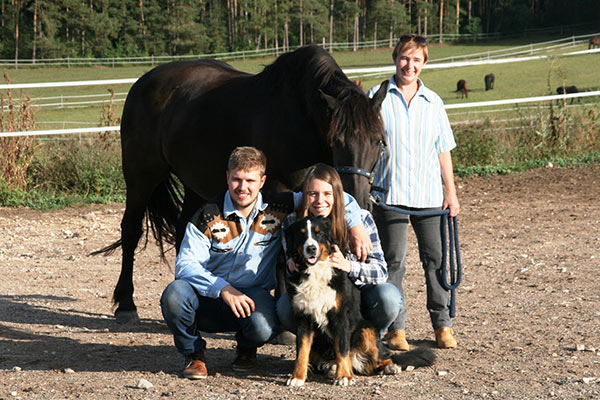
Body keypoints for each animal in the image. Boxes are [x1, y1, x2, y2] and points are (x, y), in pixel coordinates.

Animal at [91, 45, 386, 324]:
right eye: (336, 141)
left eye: (379, 140)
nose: (360, 197)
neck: (299, 116)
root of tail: (143, 82)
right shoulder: (279, 192)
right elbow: (281, 252)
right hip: (140, 176)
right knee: (131, 231)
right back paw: (126, 304)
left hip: (193, 183)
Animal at [284, 217, 434, 386]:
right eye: (301, 234)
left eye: (319, 233)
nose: (311, 248)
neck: (315, 273)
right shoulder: (304, 318)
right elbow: (302, 351)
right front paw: (297, 377)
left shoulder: (340, 317)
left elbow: (342, 348)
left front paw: (343, 376)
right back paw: (332, 367)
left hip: (366, 330)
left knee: (379, 359)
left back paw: (389, 367)